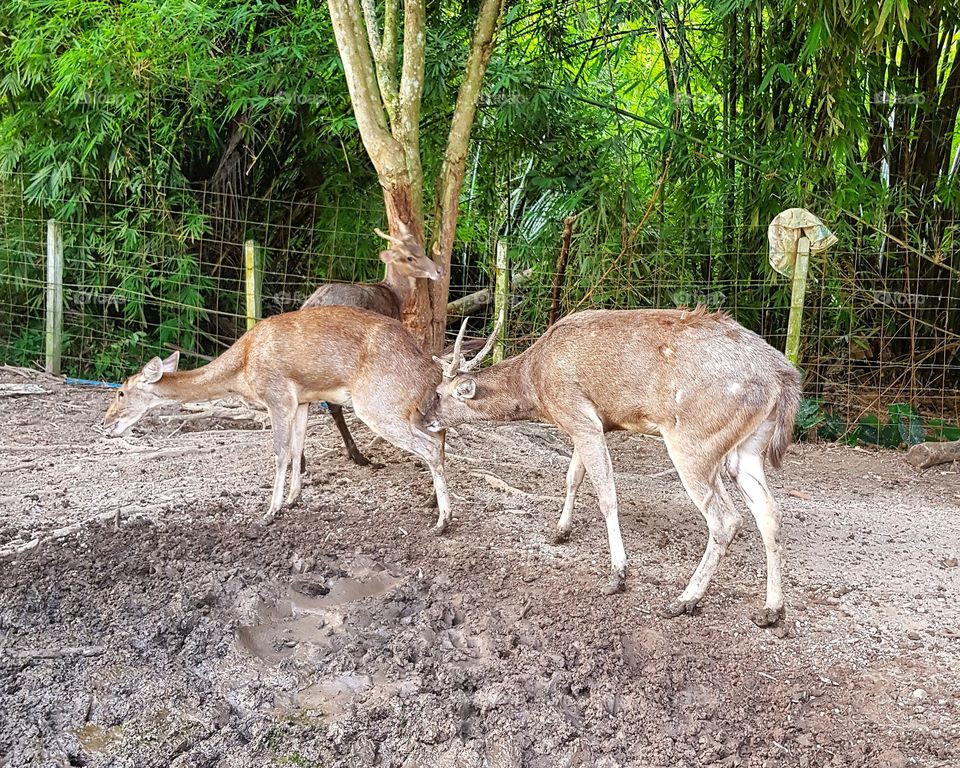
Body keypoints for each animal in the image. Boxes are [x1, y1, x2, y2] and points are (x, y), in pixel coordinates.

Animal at [102, 306, 452, 531]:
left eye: (121, 392)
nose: (104, 424)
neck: (242, 369)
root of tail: (430, 371)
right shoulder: (302, 400)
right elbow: (297, 447)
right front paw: (294, 499)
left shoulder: (277, 395)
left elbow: (280, 451)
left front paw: (270, 511)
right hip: (408, 406)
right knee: (439, 436)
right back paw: (432, 504)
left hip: (379, 403)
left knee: (430, 444)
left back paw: (443, 521)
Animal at [424, 306, 801, 627]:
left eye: (439, 393)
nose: (424, 418)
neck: (535, 386)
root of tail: (783, 377)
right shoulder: (592, 424)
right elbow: (573, 477)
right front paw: (559, 531)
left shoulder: (578, 415)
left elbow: (606, 494)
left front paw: (617, 574)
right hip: (748, 447)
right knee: (770, 512)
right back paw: (772, 610)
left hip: (694, 440)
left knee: (726, 518)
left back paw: (684, 599)